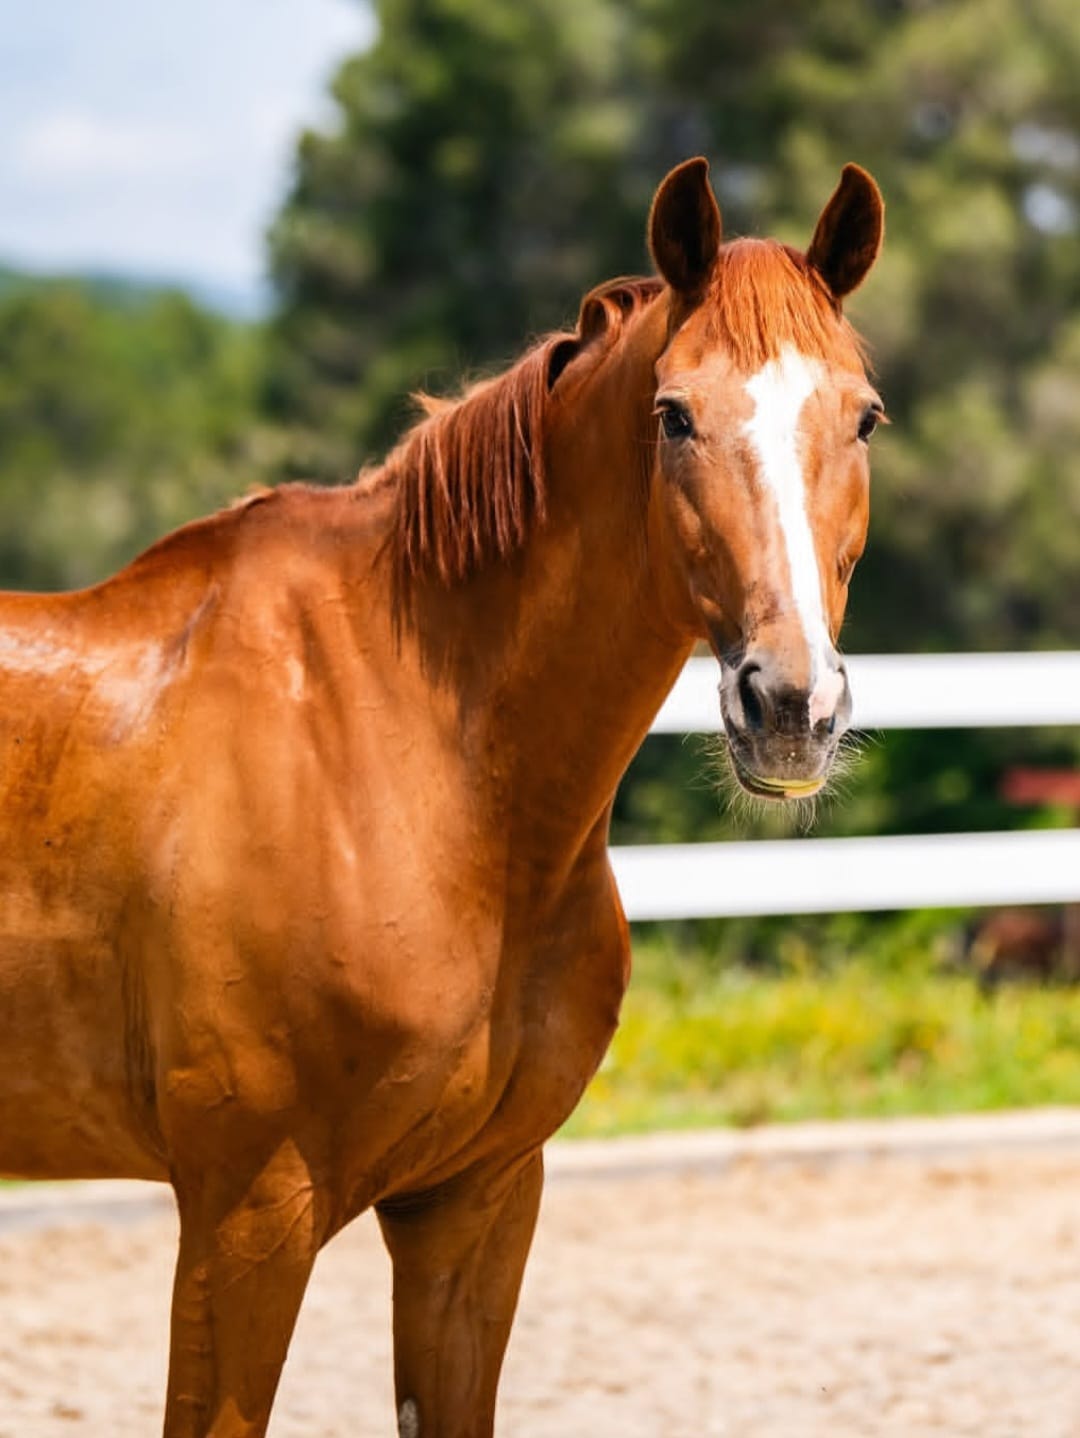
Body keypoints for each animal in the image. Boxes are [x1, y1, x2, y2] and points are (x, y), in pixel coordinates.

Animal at [0, 157, 883, 1436]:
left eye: (864, 415)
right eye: (673, 414)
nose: (791, 704)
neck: (410, 754)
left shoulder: (476, 1206)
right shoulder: (245, 1213)